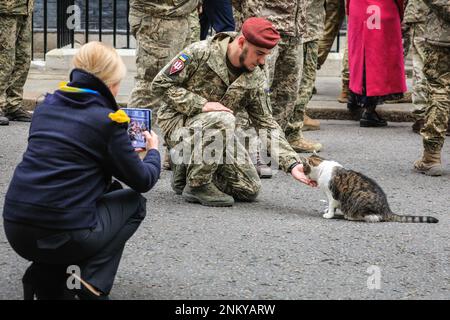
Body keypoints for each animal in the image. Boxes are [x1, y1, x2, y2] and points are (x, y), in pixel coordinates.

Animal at [304, 154, 438, 224]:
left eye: (304, 168)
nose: (304, 173)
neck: (322, 167)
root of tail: (386, 209)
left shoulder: (332, 194)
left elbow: (332, 205)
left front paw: (329, 214)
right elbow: (332, 205)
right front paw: (328, 210)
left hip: (361, 200)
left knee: (375, 217)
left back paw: (352, 216)